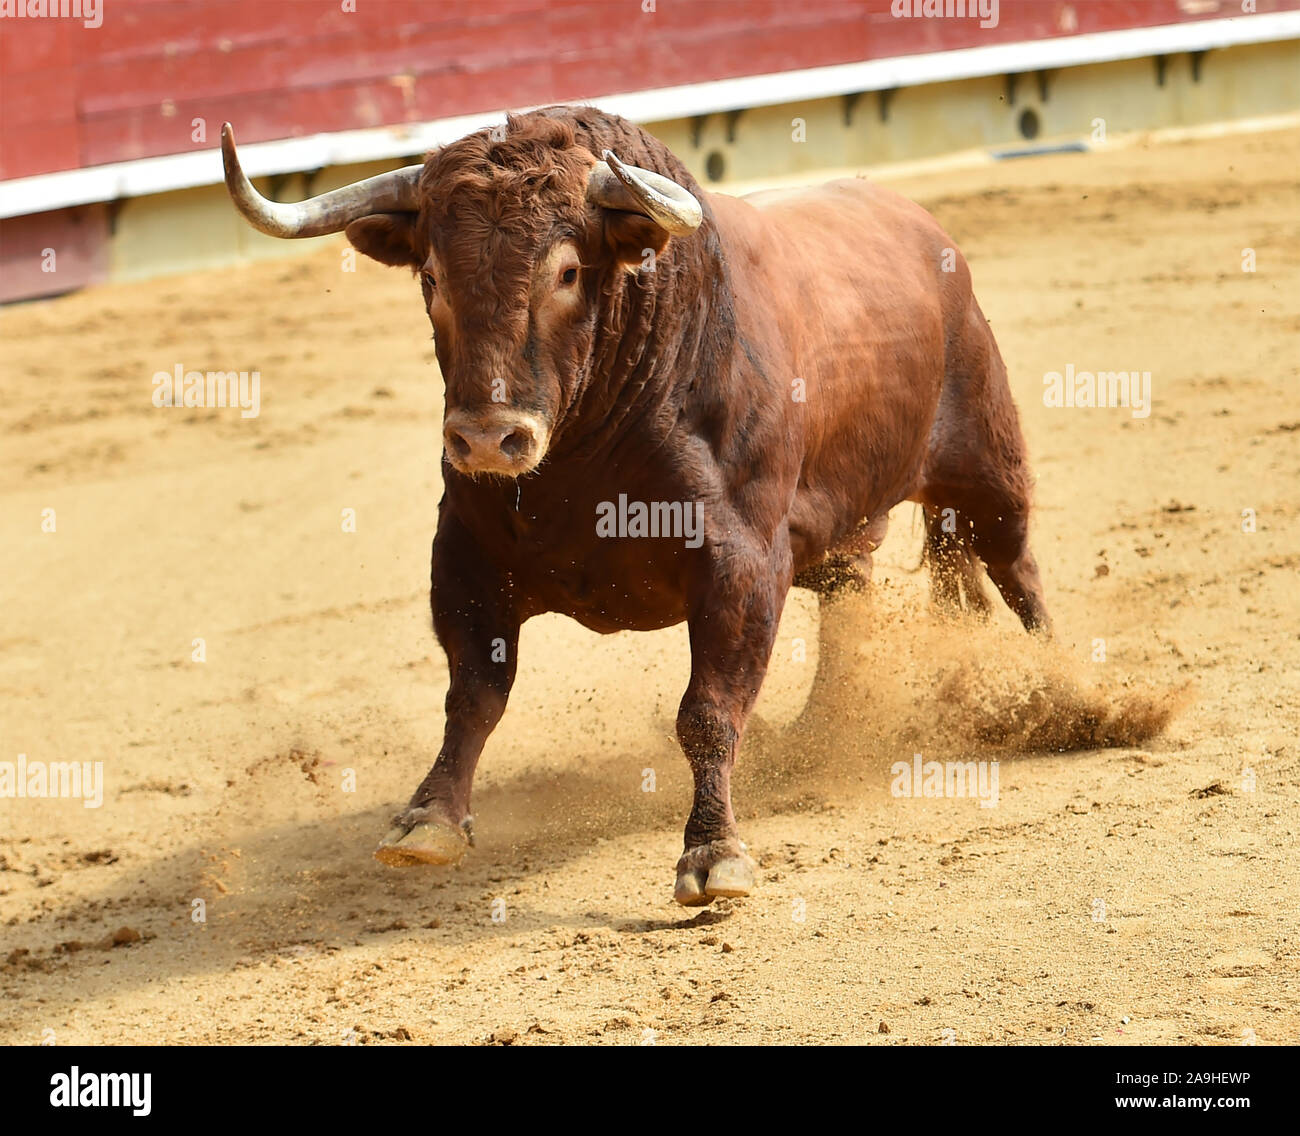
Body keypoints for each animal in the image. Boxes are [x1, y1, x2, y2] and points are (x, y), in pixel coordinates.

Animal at [223, 106, 1050, 904]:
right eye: (430, 275)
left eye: (565, 271)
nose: (488, 439)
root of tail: (920, 226)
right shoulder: (464, 556)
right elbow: (474, 695)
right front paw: (428, 820)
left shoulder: (742, 563)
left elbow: (708, 710)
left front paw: (714, 855)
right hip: (849, 527)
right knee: (852, 600)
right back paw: (819, 730)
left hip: (986, 467)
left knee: (1019, 575)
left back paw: (1060, 696)